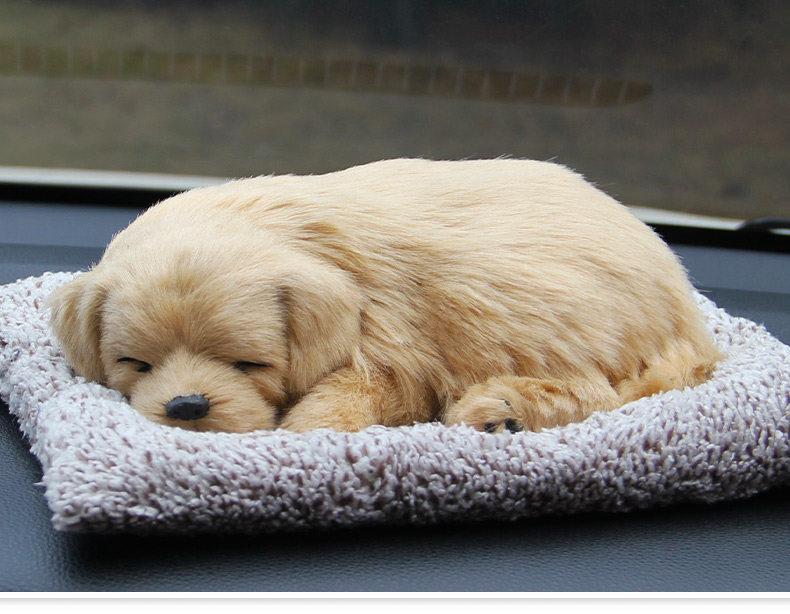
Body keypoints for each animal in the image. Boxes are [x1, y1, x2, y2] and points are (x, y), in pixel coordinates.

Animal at [48, 158, 721, 434]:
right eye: (134, 364)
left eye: (251, 364)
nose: (187, 406)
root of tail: (688, 312)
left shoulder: (396, 340)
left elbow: (358, 394)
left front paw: (303, 432)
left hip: (544, 308)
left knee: (598, 389)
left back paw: (499, 407)